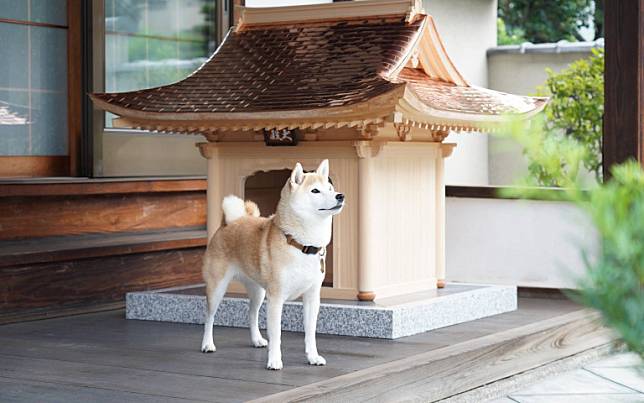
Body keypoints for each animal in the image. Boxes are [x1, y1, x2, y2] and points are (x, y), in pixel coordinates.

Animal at [201, 159, 344, 370]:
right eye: (315, 191)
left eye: (330, 188)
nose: (340, 196)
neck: (301, 244)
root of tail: (230, 222)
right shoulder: (276, 298)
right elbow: (277, 334)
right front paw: (275, 360)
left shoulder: (312, 297)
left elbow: (310, 333)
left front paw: (313, 357)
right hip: (217, 288)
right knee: (209, 317)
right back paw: (207, 344)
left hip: (258, 291)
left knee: (251, 314)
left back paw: (256, 340)